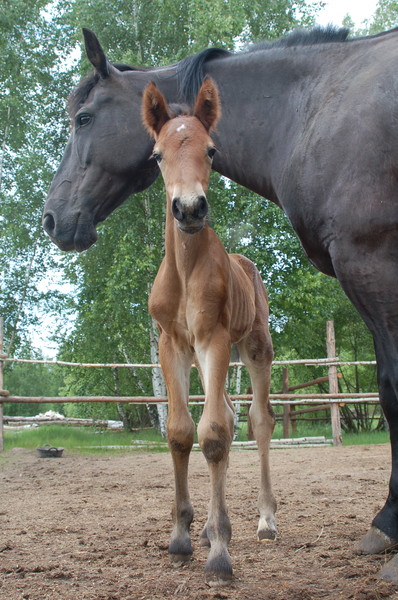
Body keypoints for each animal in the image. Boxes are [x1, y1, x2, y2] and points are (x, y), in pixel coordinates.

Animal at [142, 77, 276, 584]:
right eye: (157, 155)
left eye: (212, 150)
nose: (190, 208)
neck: (185, 270)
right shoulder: (173, 344)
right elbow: (182, 431)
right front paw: (182, 536)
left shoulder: (214, 338)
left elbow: (214, 433)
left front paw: (220, 554)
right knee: (232, 417)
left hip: (254, 348)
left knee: (257, 420)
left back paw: (265, 521)